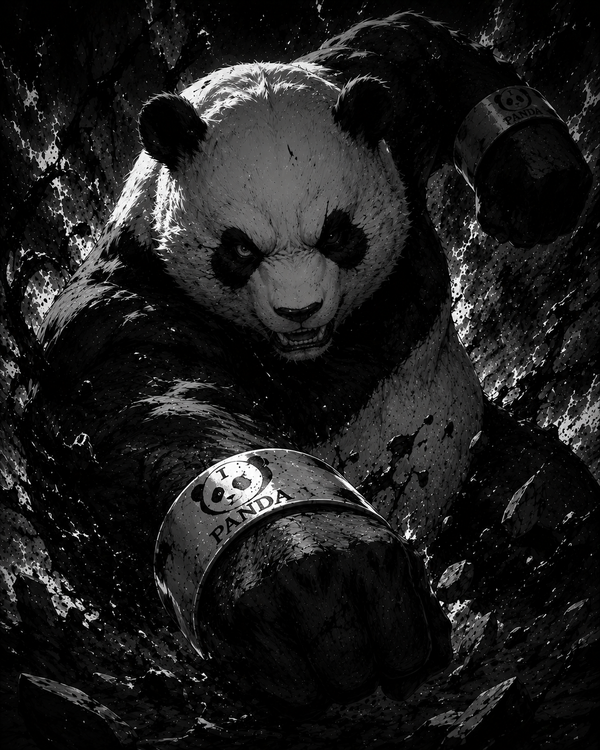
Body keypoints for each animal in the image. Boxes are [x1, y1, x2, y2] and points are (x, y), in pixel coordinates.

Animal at [37, 12, 595, 718]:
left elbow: (421, 48)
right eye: (239, 250)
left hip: (471, 451)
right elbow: (155, 406)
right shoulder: (128, 307)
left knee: (540, 490)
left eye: (338, 233)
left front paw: (539, 180)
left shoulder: (382, 114)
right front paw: (318, 582)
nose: (298, 310)